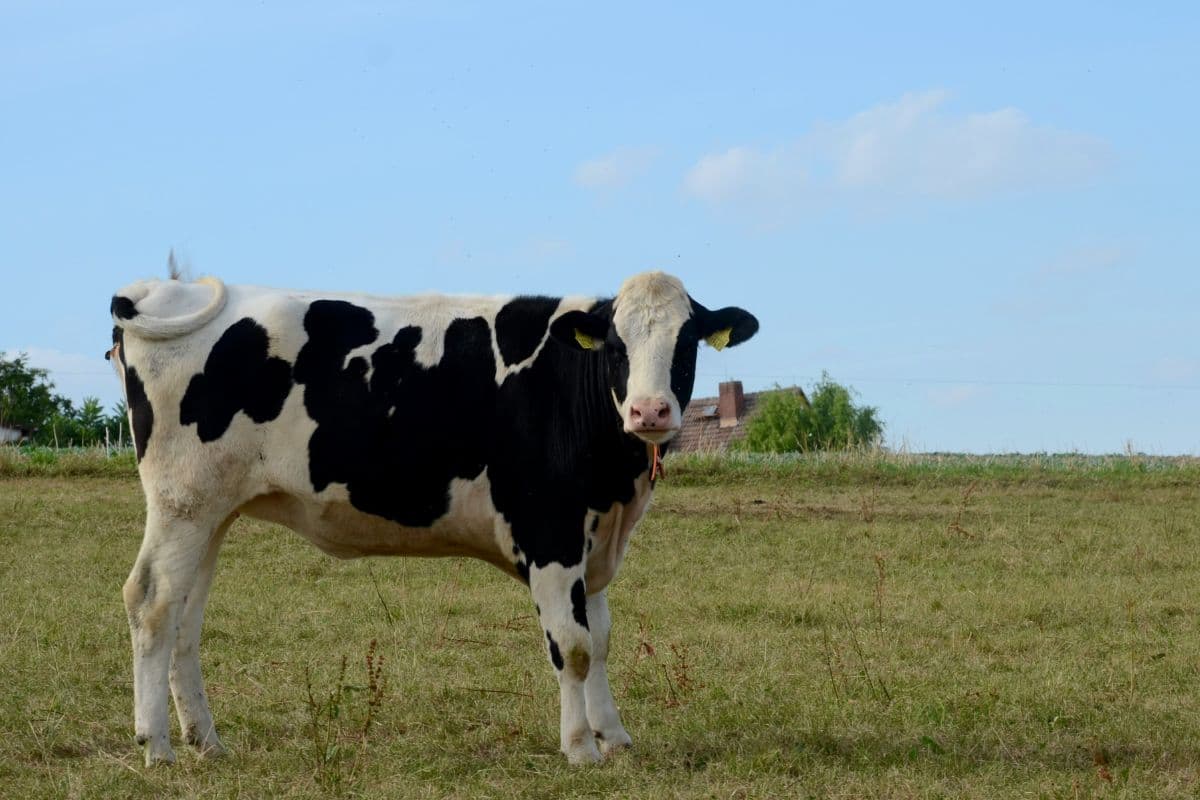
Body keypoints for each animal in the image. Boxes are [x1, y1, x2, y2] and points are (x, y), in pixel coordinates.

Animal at [108, 271, 758, 766]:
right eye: (618, 347)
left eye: (686, 344)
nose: (651, 411)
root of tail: (158, 290)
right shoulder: (550, 533)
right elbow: (572, 646)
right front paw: (580, 749)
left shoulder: (593, 541)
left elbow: (599, 641)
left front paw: (614, 737)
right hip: (182, 502)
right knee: (152, 601)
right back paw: (157, 747)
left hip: (211, 512)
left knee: (186, 617)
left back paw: (206, 742)